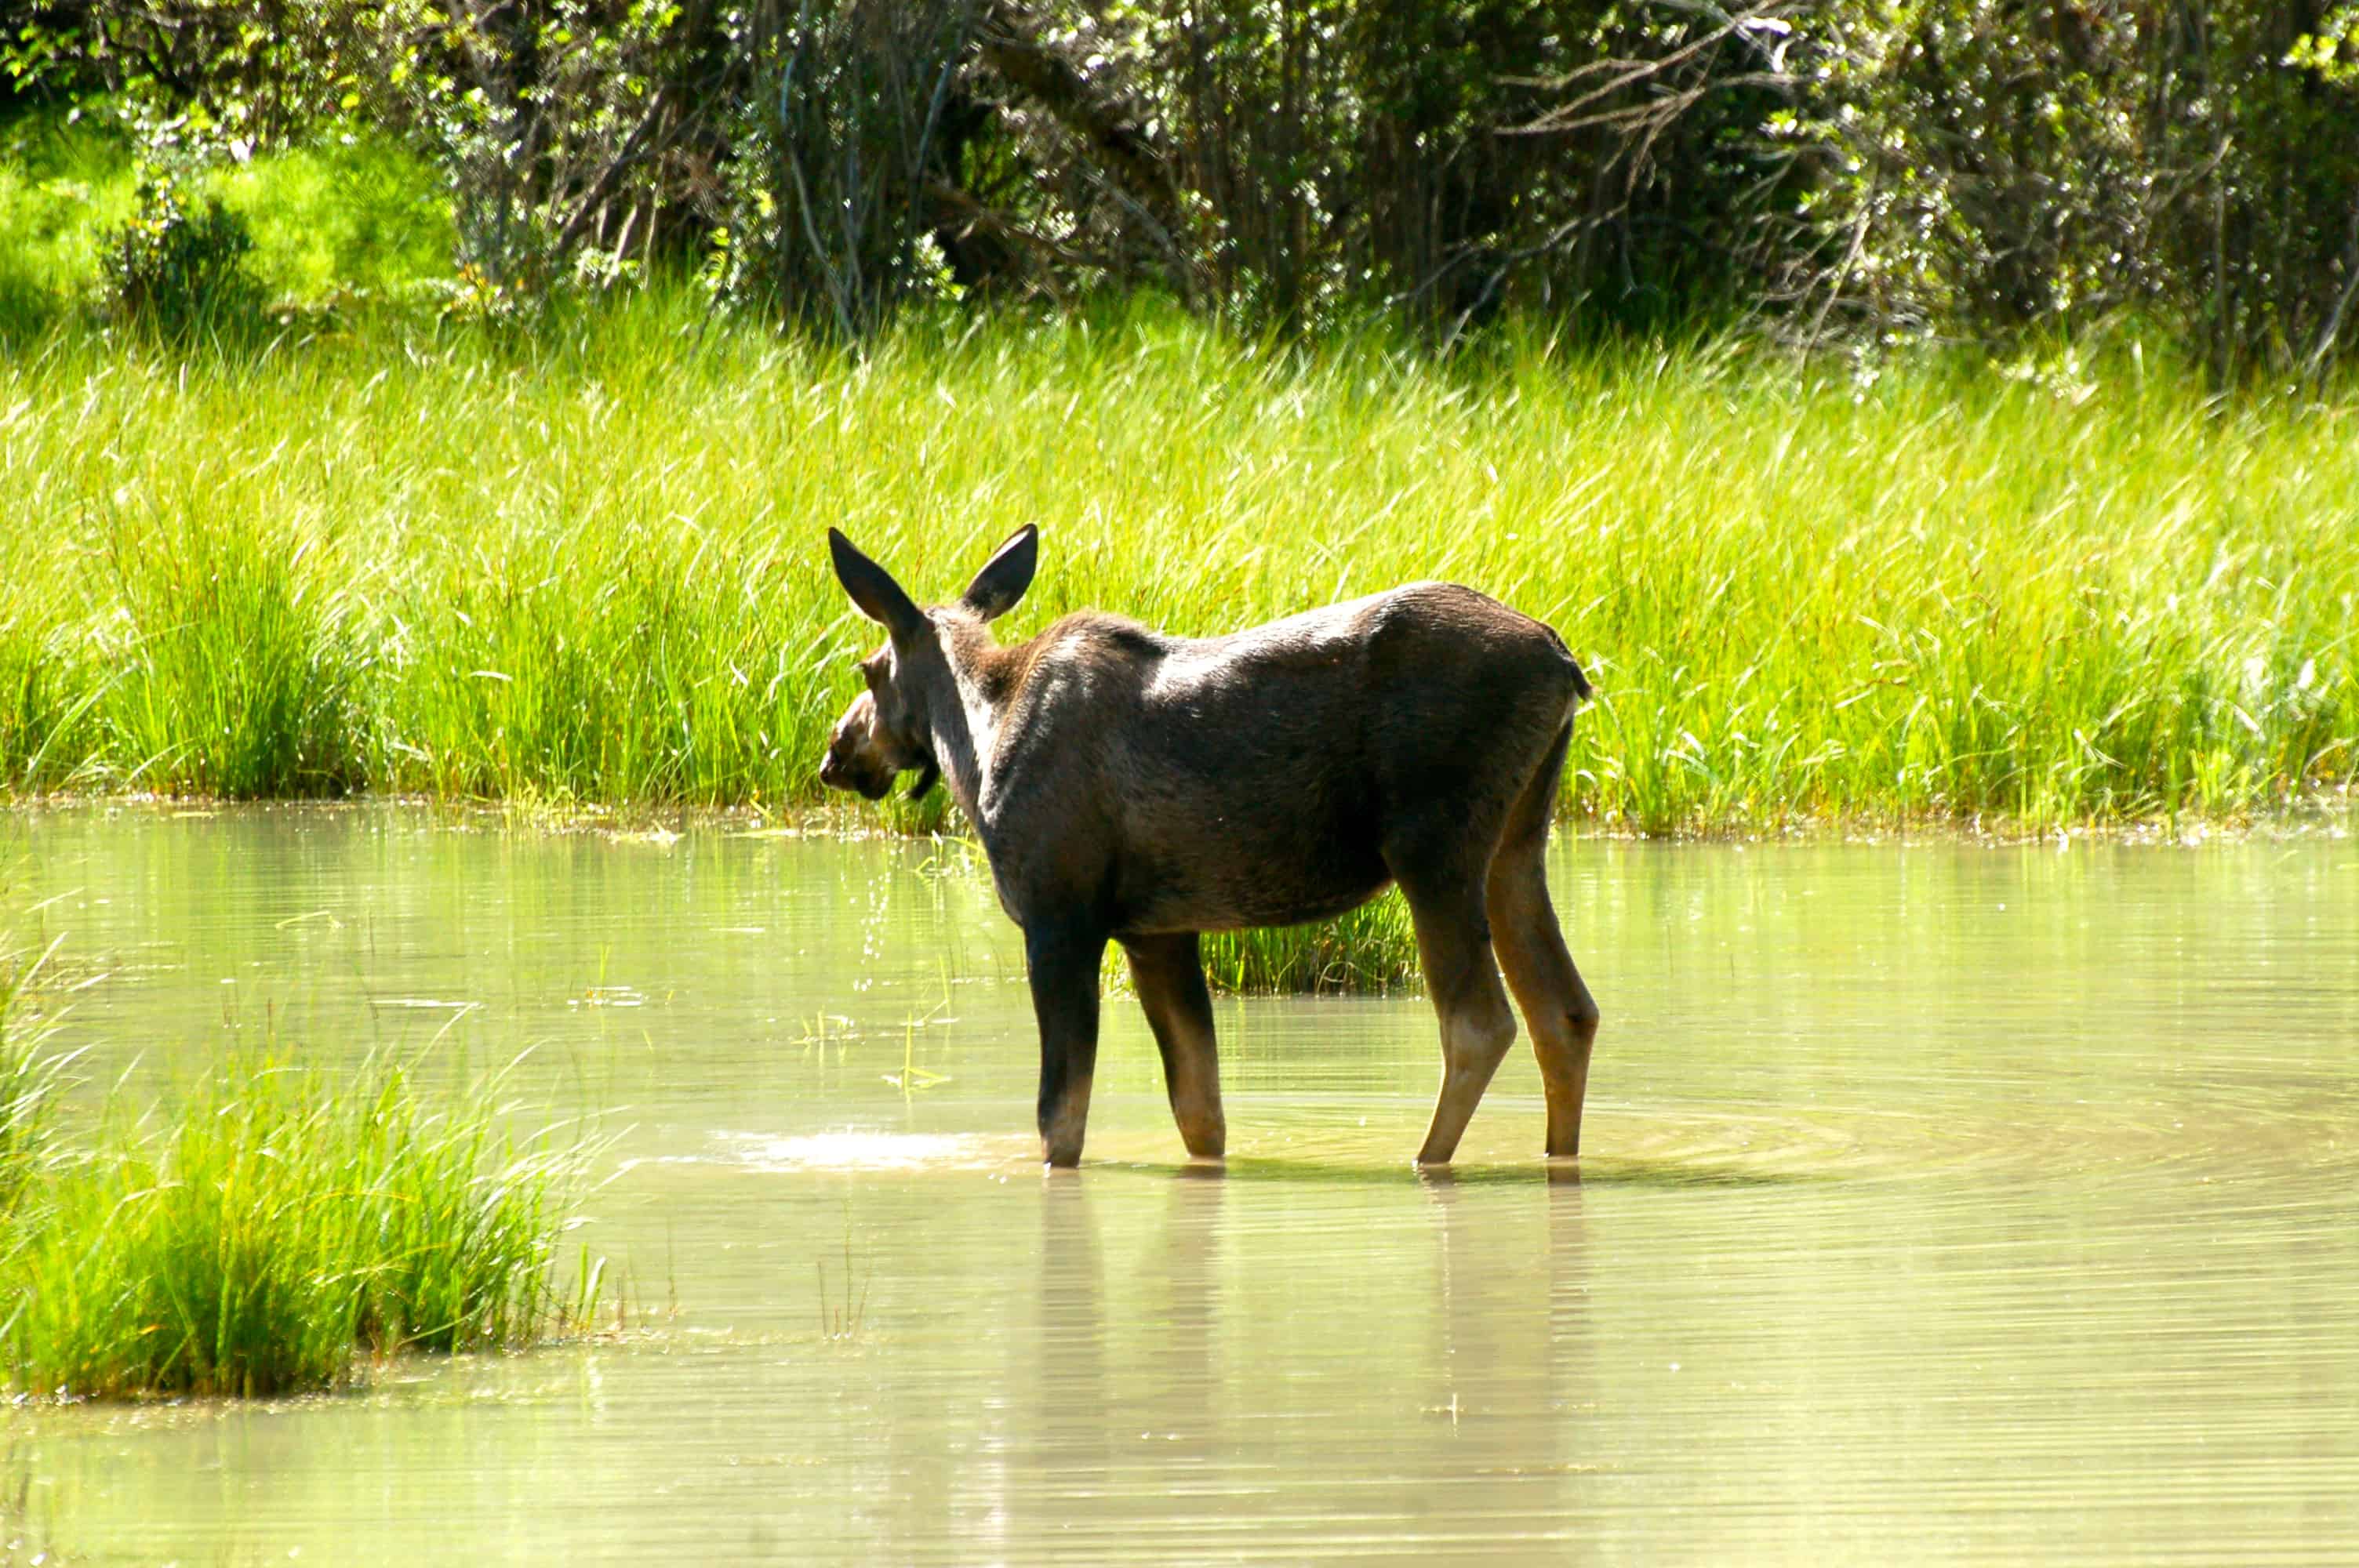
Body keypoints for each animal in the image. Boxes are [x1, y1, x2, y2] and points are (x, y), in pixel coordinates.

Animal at [818, 525, 1599, 1169]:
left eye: (867, 669)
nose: (836, 753)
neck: (976, 741)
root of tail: (1564, 662)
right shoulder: (1159, 931)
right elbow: (1200, 1111)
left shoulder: (1058, 917)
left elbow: (1059, 1118)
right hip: (1517, 841)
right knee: (1565, 1013)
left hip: (1433, 845)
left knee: (1478, 1023)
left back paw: (1425, 1161)